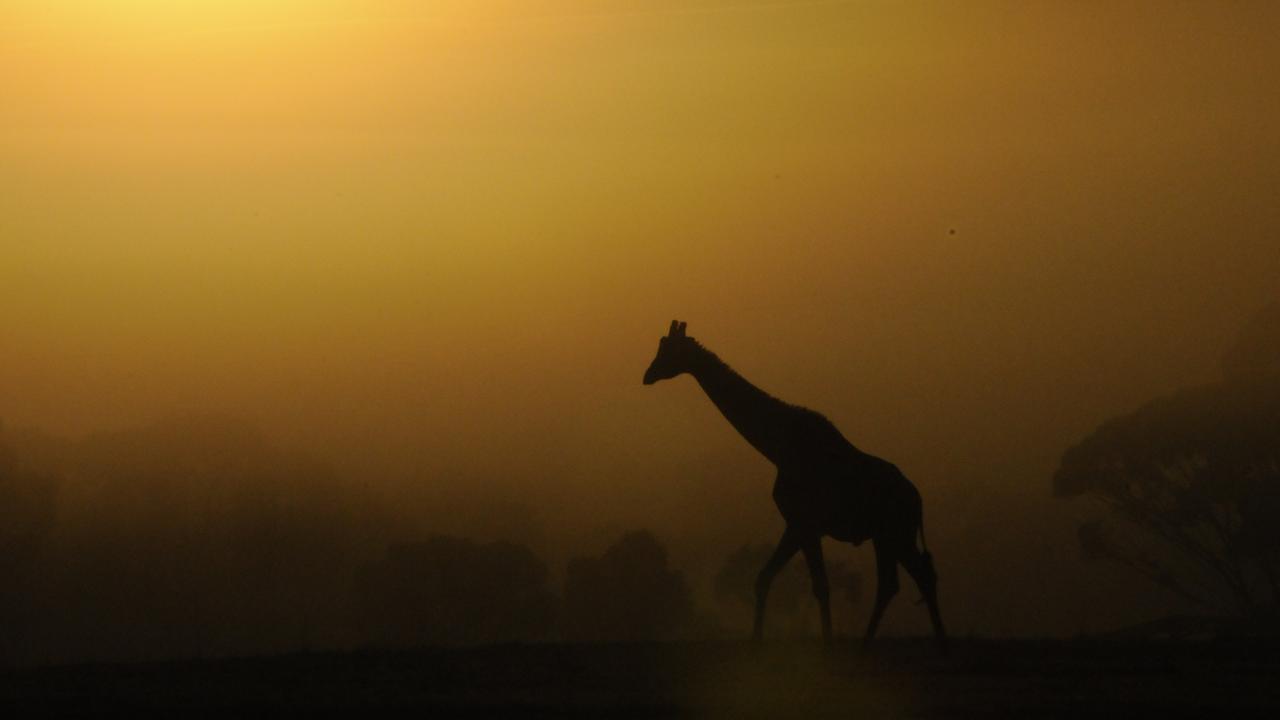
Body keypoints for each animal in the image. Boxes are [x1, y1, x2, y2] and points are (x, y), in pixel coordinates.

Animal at [645, 319, 947, 650]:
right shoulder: (795, 523)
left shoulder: (806, 523)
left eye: (669, 350)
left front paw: (827, 643)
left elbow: (820, 585)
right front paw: (756, 640)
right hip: (885, 536)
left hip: (896, 533)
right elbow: (765, 577)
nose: (647, 375)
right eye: (661, 346)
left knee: (918, 576)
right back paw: (876, 641)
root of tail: (917, 499)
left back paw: (937, 640)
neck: (776, 447)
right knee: (894, 582)